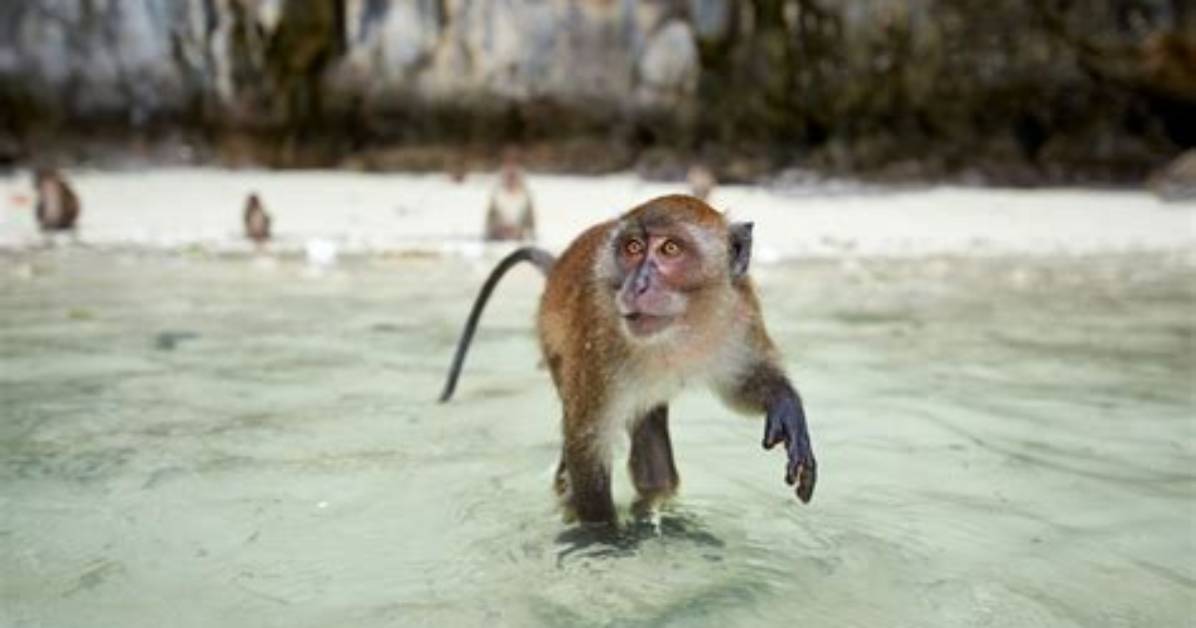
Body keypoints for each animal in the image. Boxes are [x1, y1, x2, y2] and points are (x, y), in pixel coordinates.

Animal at [440, 194, 816, 527]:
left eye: (670, 249)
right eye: (633, 248)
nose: (637, 285)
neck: (680, 326)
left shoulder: (740, 312)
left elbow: (741, 384)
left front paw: (784, 403)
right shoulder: (599, 336)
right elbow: (586, 441)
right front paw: (604, 538)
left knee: (650, 430)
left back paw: (654, 503)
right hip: (554, 346)